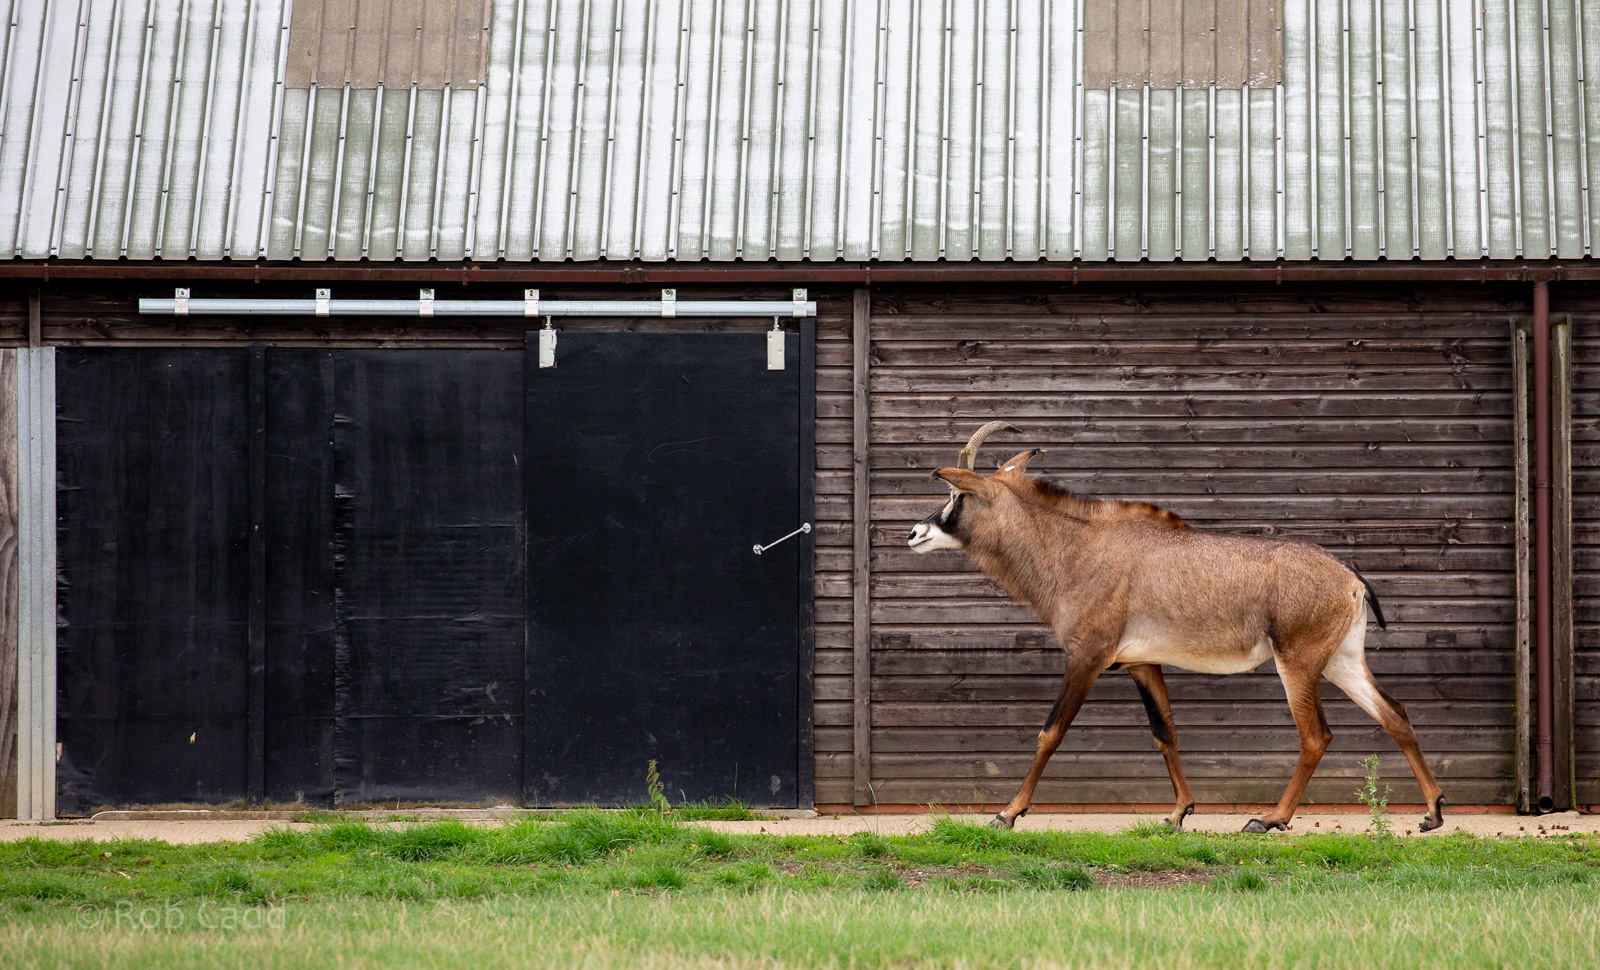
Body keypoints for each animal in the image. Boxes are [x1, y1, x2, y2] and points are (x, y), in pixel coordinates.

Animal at [908, 422, 1446, 834]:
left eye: (956, 494)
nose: (914, 533)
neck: (1075, 549)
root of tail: (1350, 578)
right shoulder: (1141, 662)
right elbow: (1164, 731)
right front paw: (1178, 813)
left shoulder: (1087, 656)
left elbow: (1051, 731)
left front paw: (1007, 813)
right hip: (1340, 660)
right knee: (1394, 714)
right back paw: (1432, 813)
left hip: (1297, 660)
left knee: (1316, 736)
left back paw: (1269, 819)